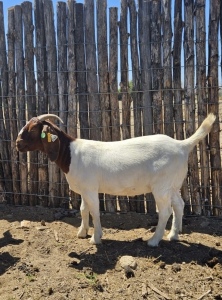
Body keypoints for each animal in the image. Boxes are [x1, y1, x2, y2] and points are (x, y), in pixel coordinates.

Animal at [16, 112, 216, 246]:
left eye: (32, 129)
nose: (17, 144)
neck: (71, 154)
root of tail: (182, 145)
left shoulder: (90, 189)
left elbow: (95, 211)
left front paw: (96, 238)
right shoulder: (85, 188)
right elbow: (83, 210)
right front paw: (82, 232)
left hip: (161, 186)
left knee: (166, 210)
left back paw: (153, 241)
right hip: (172, 184)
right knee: (179, 205)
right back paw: (173, 235)